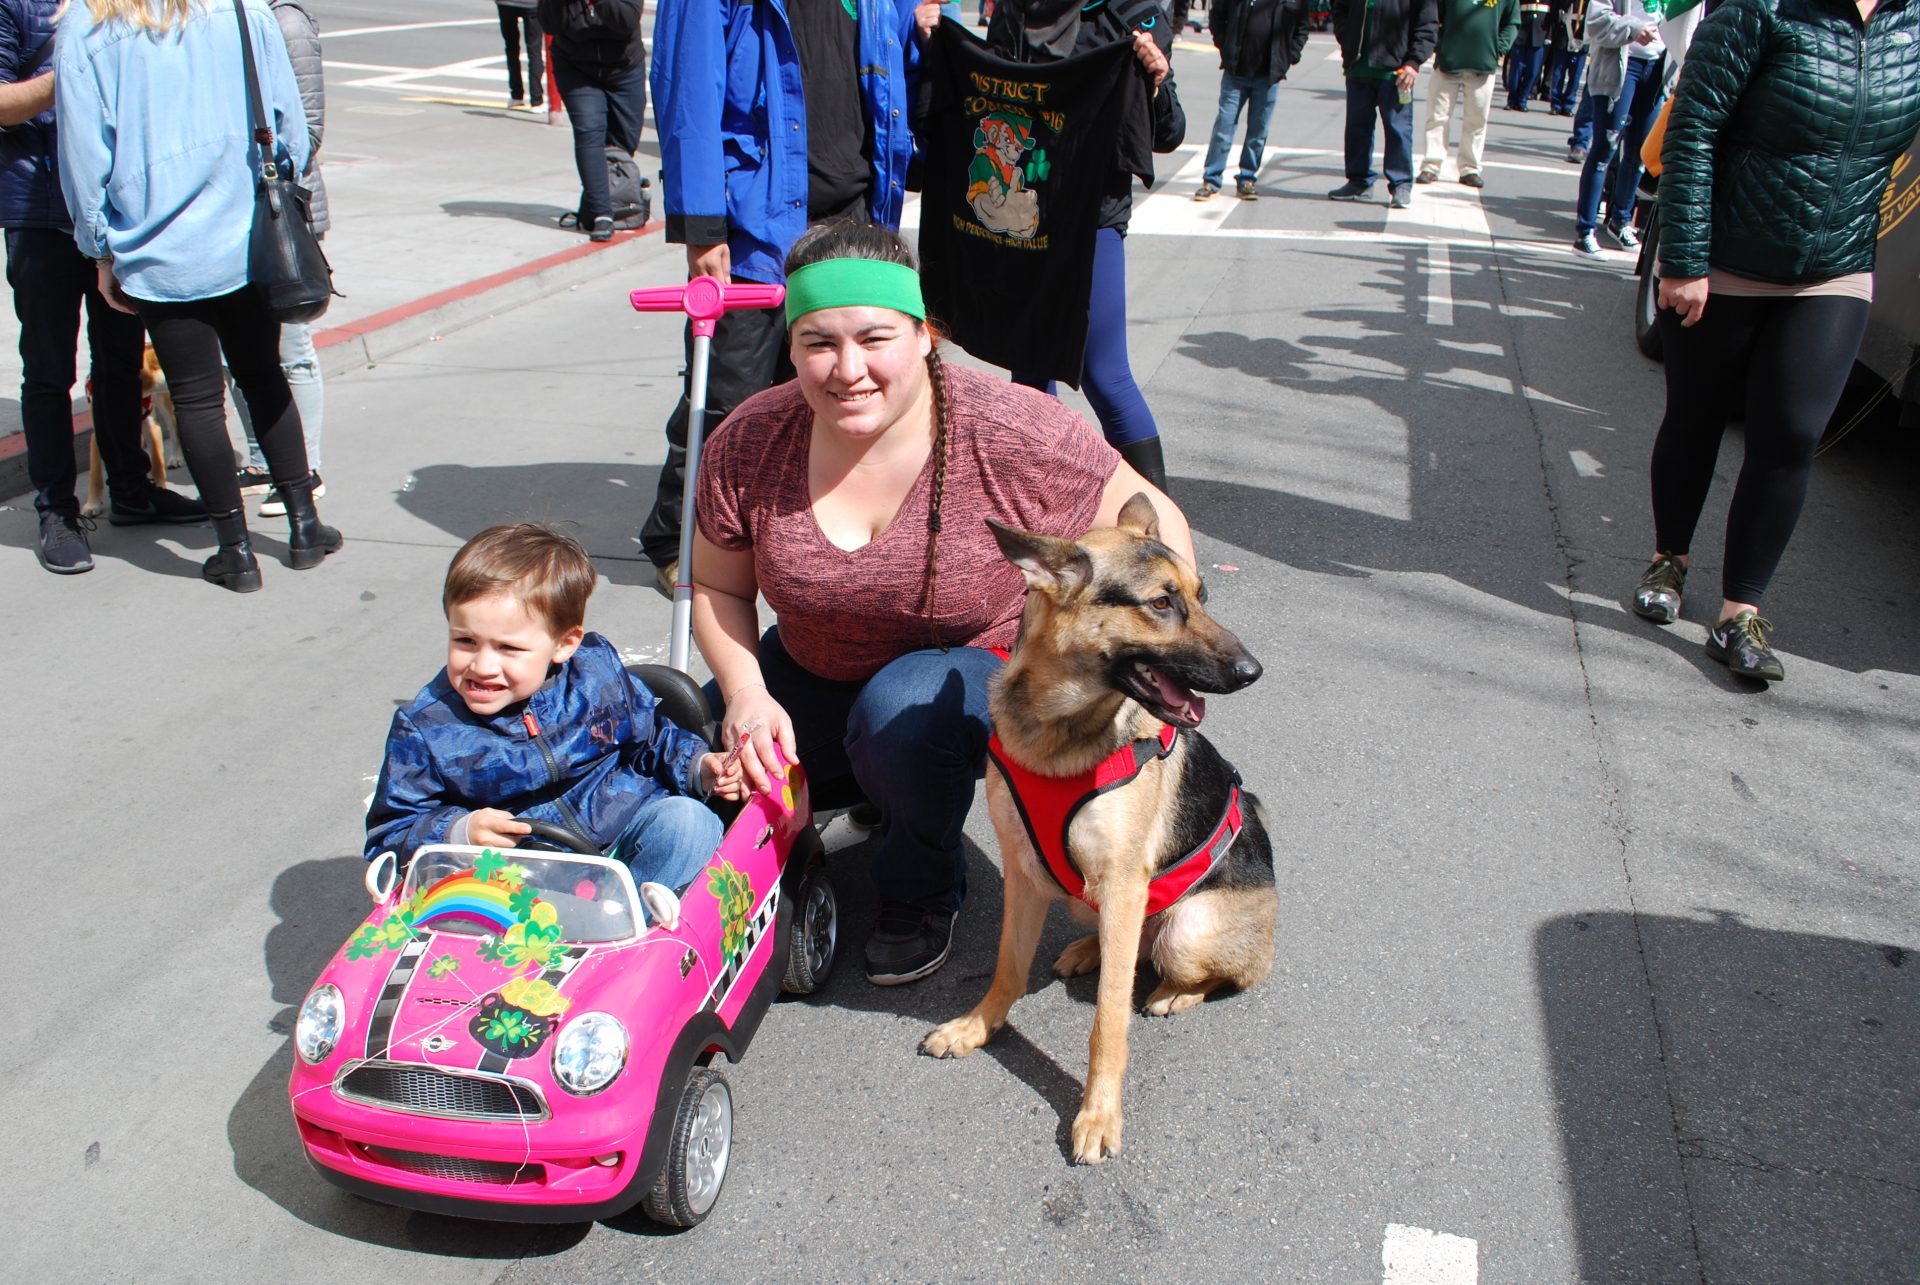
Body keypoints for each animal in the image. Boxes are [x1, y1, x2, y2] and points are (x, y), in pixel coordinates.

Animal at [925, 499, 1282, 1160]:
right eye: (1162, 603)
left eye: (1202, 594)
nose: (1253, 671)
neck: (1057, 735)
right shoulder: (1025, 874)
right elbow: (1007, 967)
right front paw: (978, 1027)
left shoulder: (1121, 882)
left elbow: (1108, 1021)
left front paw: (1098, 1114)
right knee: (1129, 942)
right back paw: (1089, 950)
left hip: (1188, 929)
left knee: (1205, 969)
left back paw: (1172, 992)